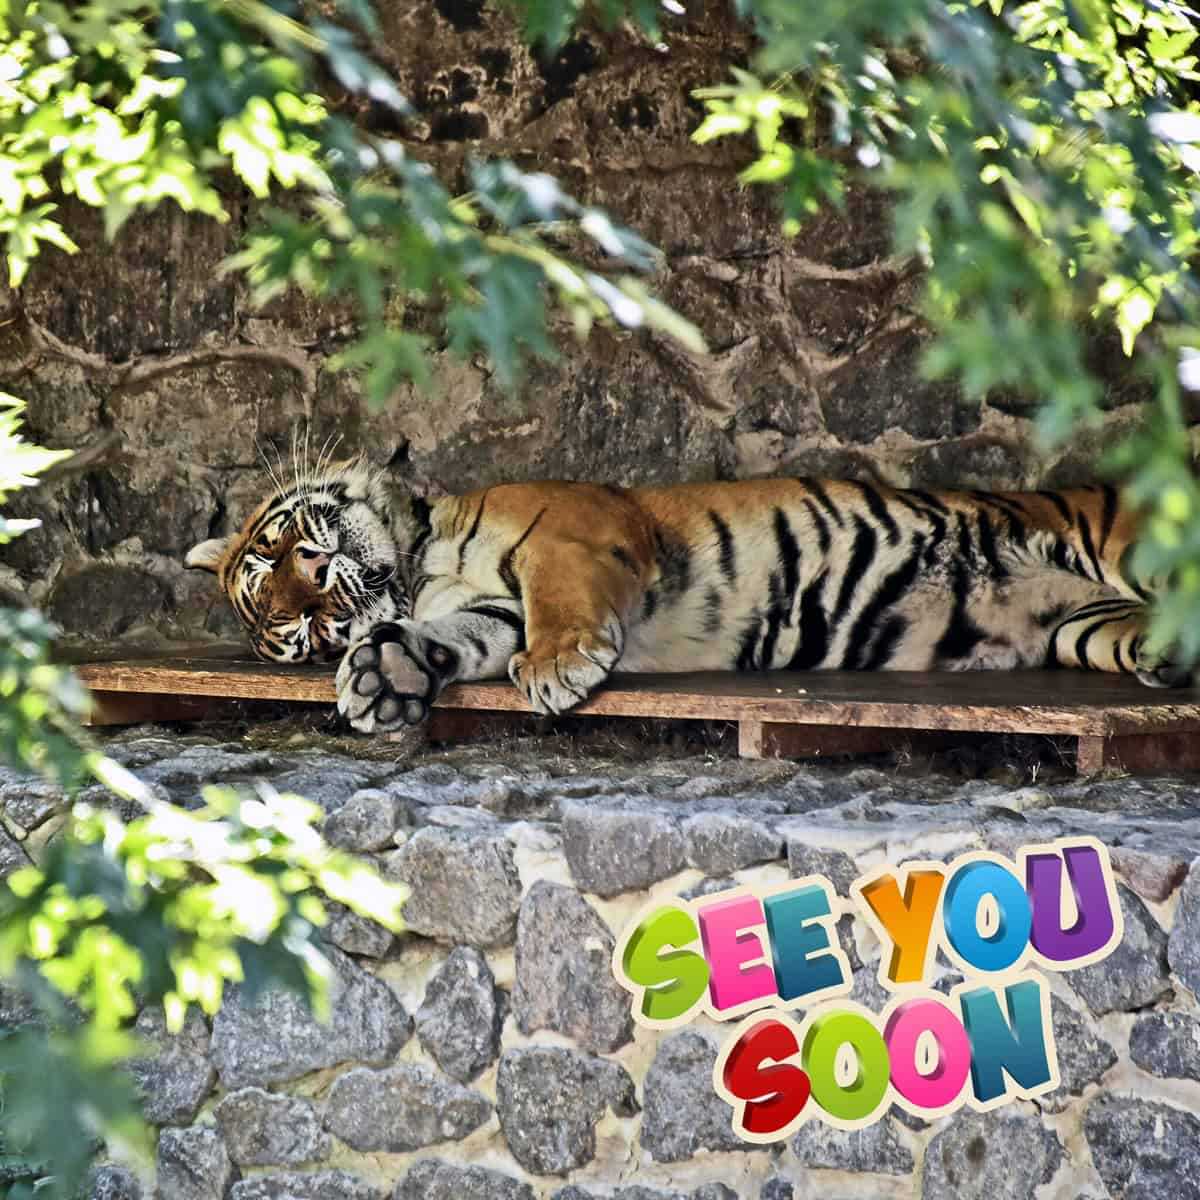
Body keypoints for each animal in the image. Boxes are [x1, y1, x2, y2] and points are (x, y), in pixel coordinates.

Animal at [183, 461, 1187, 735]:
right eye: (301, 632)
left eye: (279, 550)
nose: (323, 598)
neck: (424, 562)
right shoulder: (482, 613)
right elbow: (450, 641)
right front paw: (379, 679)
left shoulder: (569, 534)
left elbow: (551, 603)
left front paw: (561, 666)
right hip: (1083, 627)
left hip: (1133, 547)